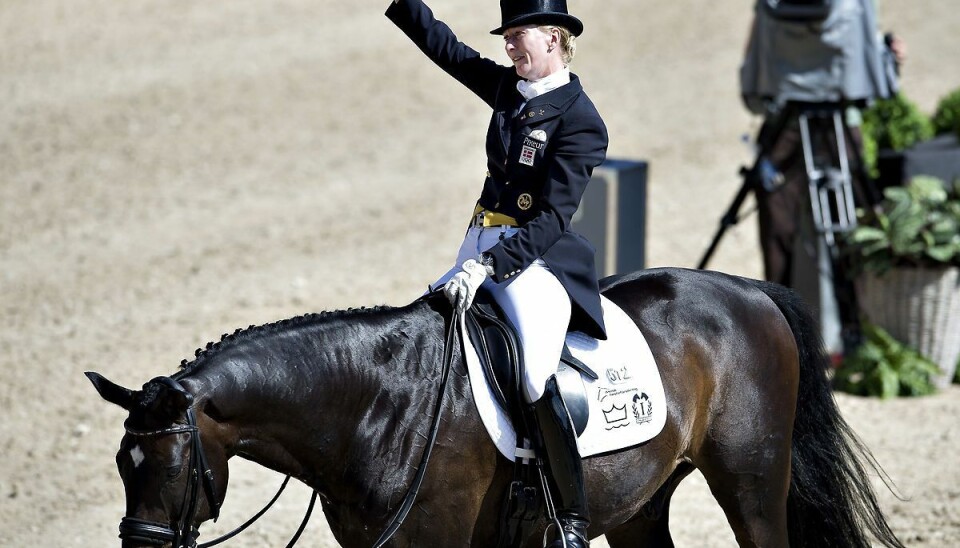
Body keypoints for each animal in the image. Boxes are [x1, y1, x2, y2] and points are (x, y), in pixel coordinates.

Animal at [86, 268, 904, 544]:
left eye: (169, 467)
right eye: (122, 466)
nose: (141, 546)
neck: (374, 408)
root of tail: (747, 290)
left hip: (752, 483)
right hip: (640, 504)